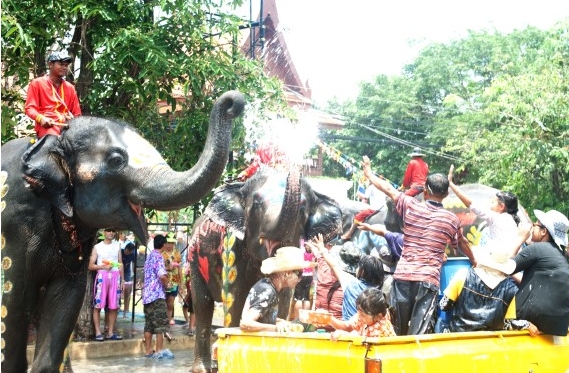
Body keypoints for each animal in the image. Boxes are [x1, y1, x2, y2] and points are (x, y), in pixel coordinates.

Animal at [0, 90, 244, 372]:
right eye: (116, 160)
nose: (233, 102)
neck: (55, 142)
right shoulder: (12, 225)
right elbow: (11, 303)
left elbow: (65, 301)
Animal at [189, 169, 344, 372]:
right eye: (256, 204)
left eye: (302, 209)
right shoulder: (233, 243)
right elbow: (235, 296)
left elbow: (285, 298)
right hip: (193, 258)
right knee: (202, 304)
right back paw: (203, 367)